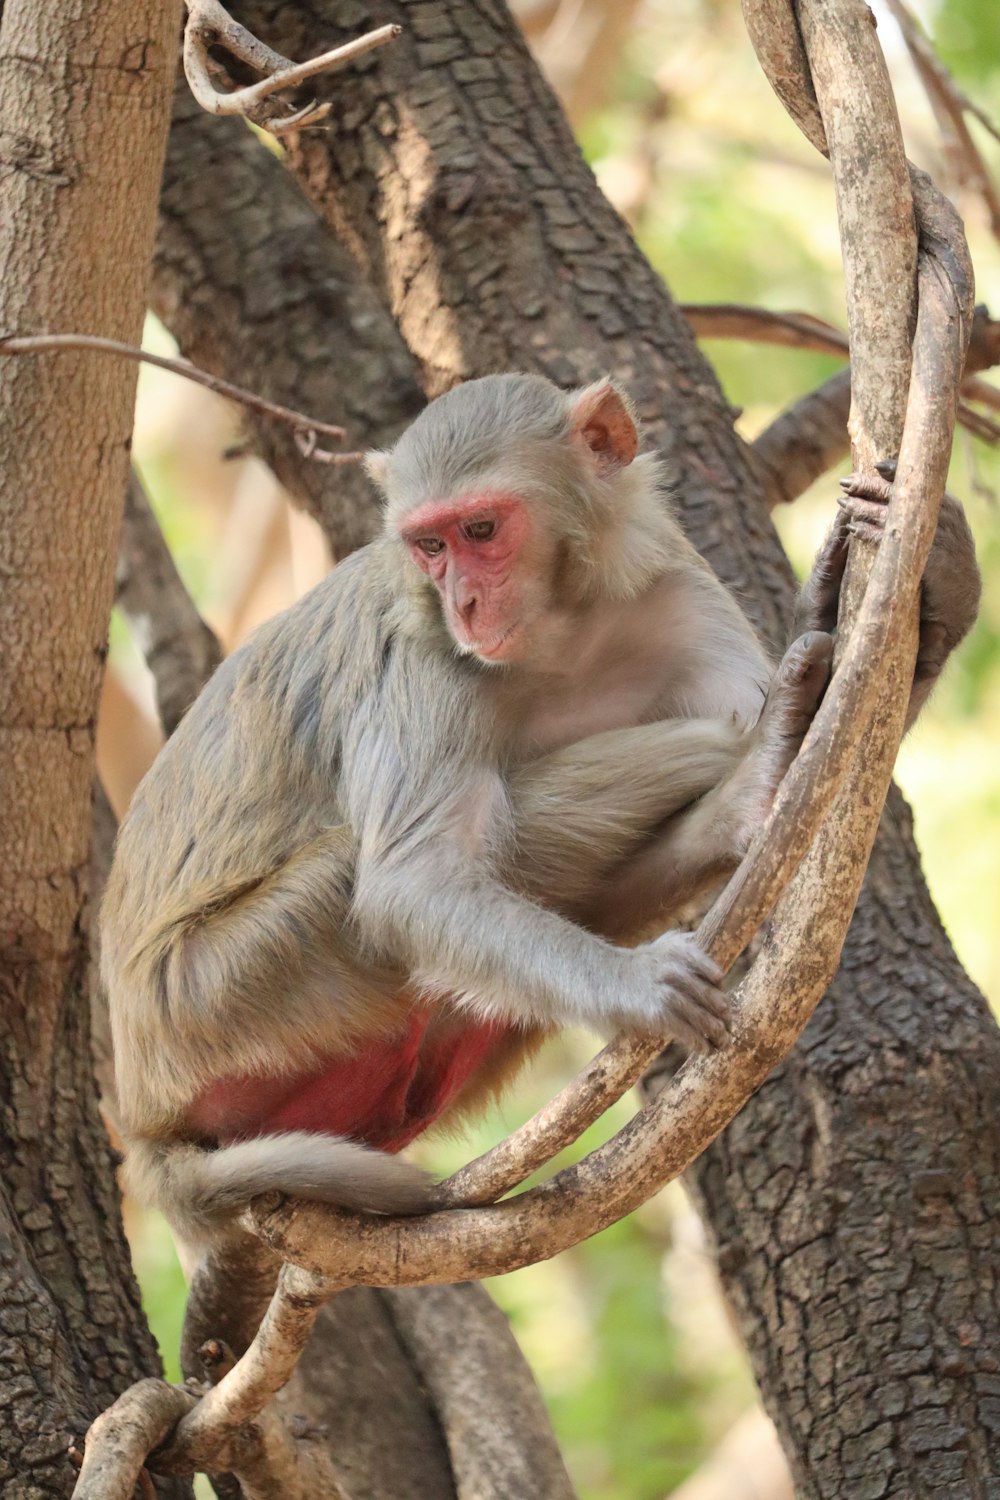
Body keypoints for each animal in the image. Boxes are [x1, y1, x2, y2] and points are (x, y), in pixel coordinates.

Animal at [101, 369, 977, 1236]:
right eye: (429, 545)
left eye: (481, 529)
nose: (463, 604)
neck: (562, 634)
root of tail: (140, 1111)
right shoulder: (421, 656)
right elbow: (409, 883)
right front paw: (634, 986)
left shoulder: (672, 593)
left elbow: (836, 770)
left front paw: (937, 587)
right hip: (222, 991)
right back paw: (746, 768)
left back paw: (750, 791)